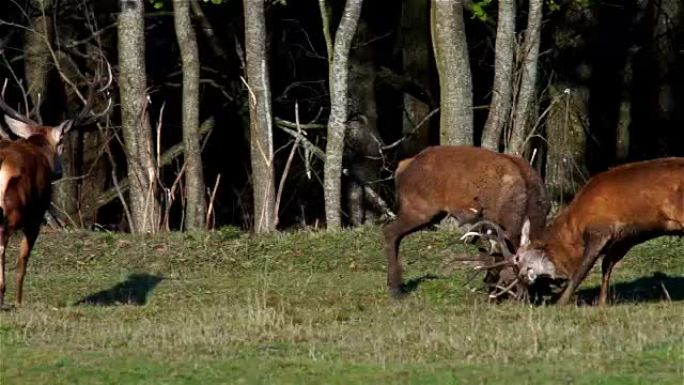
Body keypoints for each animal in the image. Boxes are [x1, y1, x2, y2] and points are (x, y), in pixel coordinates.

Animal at [384, 146, 552, 296]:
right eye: (515, 274)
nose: (523, 298)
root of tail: (402, 166)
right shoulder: (494, 222)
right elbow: (493, 254)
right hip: (418, 206)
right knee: (389, 231)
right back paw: (395, 288)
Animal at [512, 158, 684, 304]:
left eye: (517, 258)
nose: (520, 276)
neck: (574, 234)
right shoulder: (625, 238)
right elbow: (606, 265)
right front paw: (601, 302)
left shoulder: (599, 230)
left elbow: (581, 271)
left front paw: (560, 301)